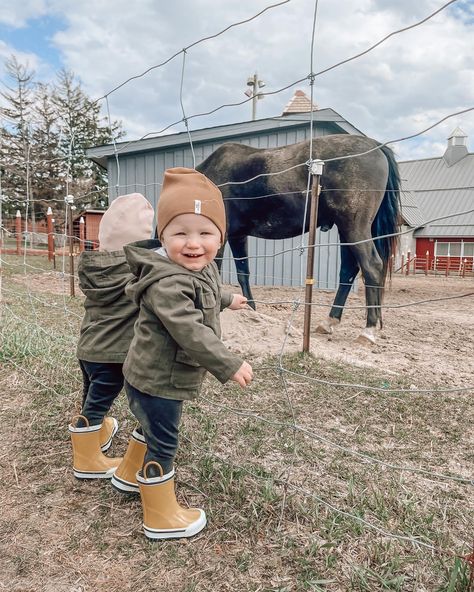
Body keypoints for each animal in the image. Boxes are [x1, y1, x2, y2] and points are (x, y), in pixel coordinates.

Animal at [196, 135, 400, 342]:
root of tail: (376, 146)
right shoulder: (238, 237)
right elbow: (243, 273)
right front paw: (250, 309)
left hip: (354, 228)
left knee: (371, 266)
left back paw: (368, 330)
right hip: (346, 231)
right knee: (348, 270)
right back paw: (329, 321)